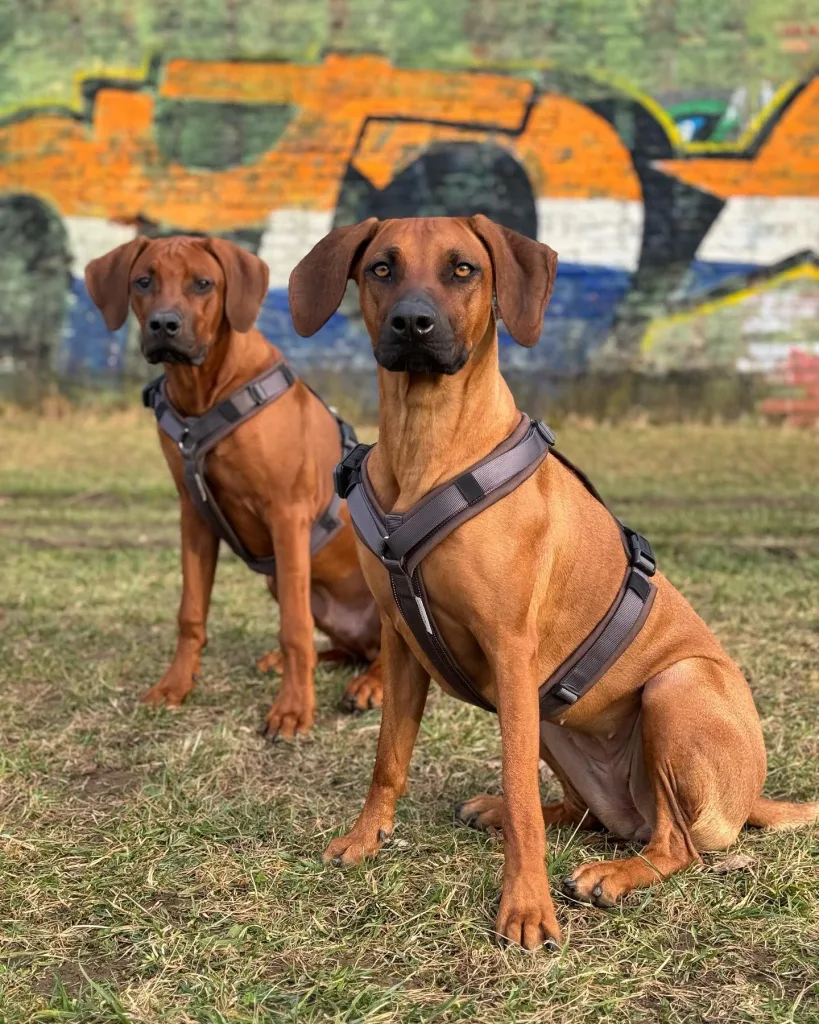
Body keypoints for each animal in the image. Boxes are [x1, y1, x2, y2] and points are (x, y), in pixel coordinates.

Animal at [88, 236, 382, 737]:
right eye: (143, 281)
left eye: (203, 283)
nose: (164, 324)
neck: (206, 392)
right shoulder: (194, 514)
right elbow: (190, 612)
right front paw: (175, 686)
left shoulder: (287, 515)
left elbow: (294, 628)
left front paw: (293, 709)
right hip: (281, 582)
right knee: (349, 650)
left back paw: (370, 684)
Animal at [288, 216, 818, 950]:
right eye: (381, 269)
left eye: (462, 269)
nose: (412, 324)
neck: (428, 443)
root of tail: (748, 800)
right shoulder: (400, 643)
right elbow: (388, 756)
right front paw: (367, 838)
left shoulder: (511, 650)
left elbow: (517, 792)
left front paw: (525, 906)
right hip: (553, 720)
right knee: (592, 815)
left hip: (672, 688)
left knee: (677, 844)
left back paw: (615, 875)